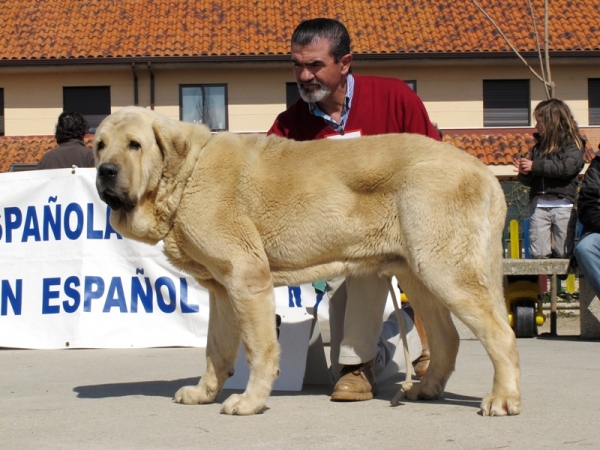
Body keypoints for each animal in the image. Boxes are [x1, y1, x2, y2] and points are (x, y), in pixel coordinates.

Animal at [94, 107, 520, 416]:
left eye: (134, 145)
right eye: (100, 145)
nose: (104, 171)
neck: (185, 175)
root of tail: (485, 173)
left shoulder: (247, 278)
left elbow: (259, 348)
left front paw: (249, 402)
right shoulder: (222, 289)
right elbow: (216, 349)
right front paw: (204, 392)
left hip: (445, 270)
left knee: (500, 334)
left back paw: (503, 399)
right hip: (421, 274)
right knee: (448, 337)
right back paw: (429, 388)